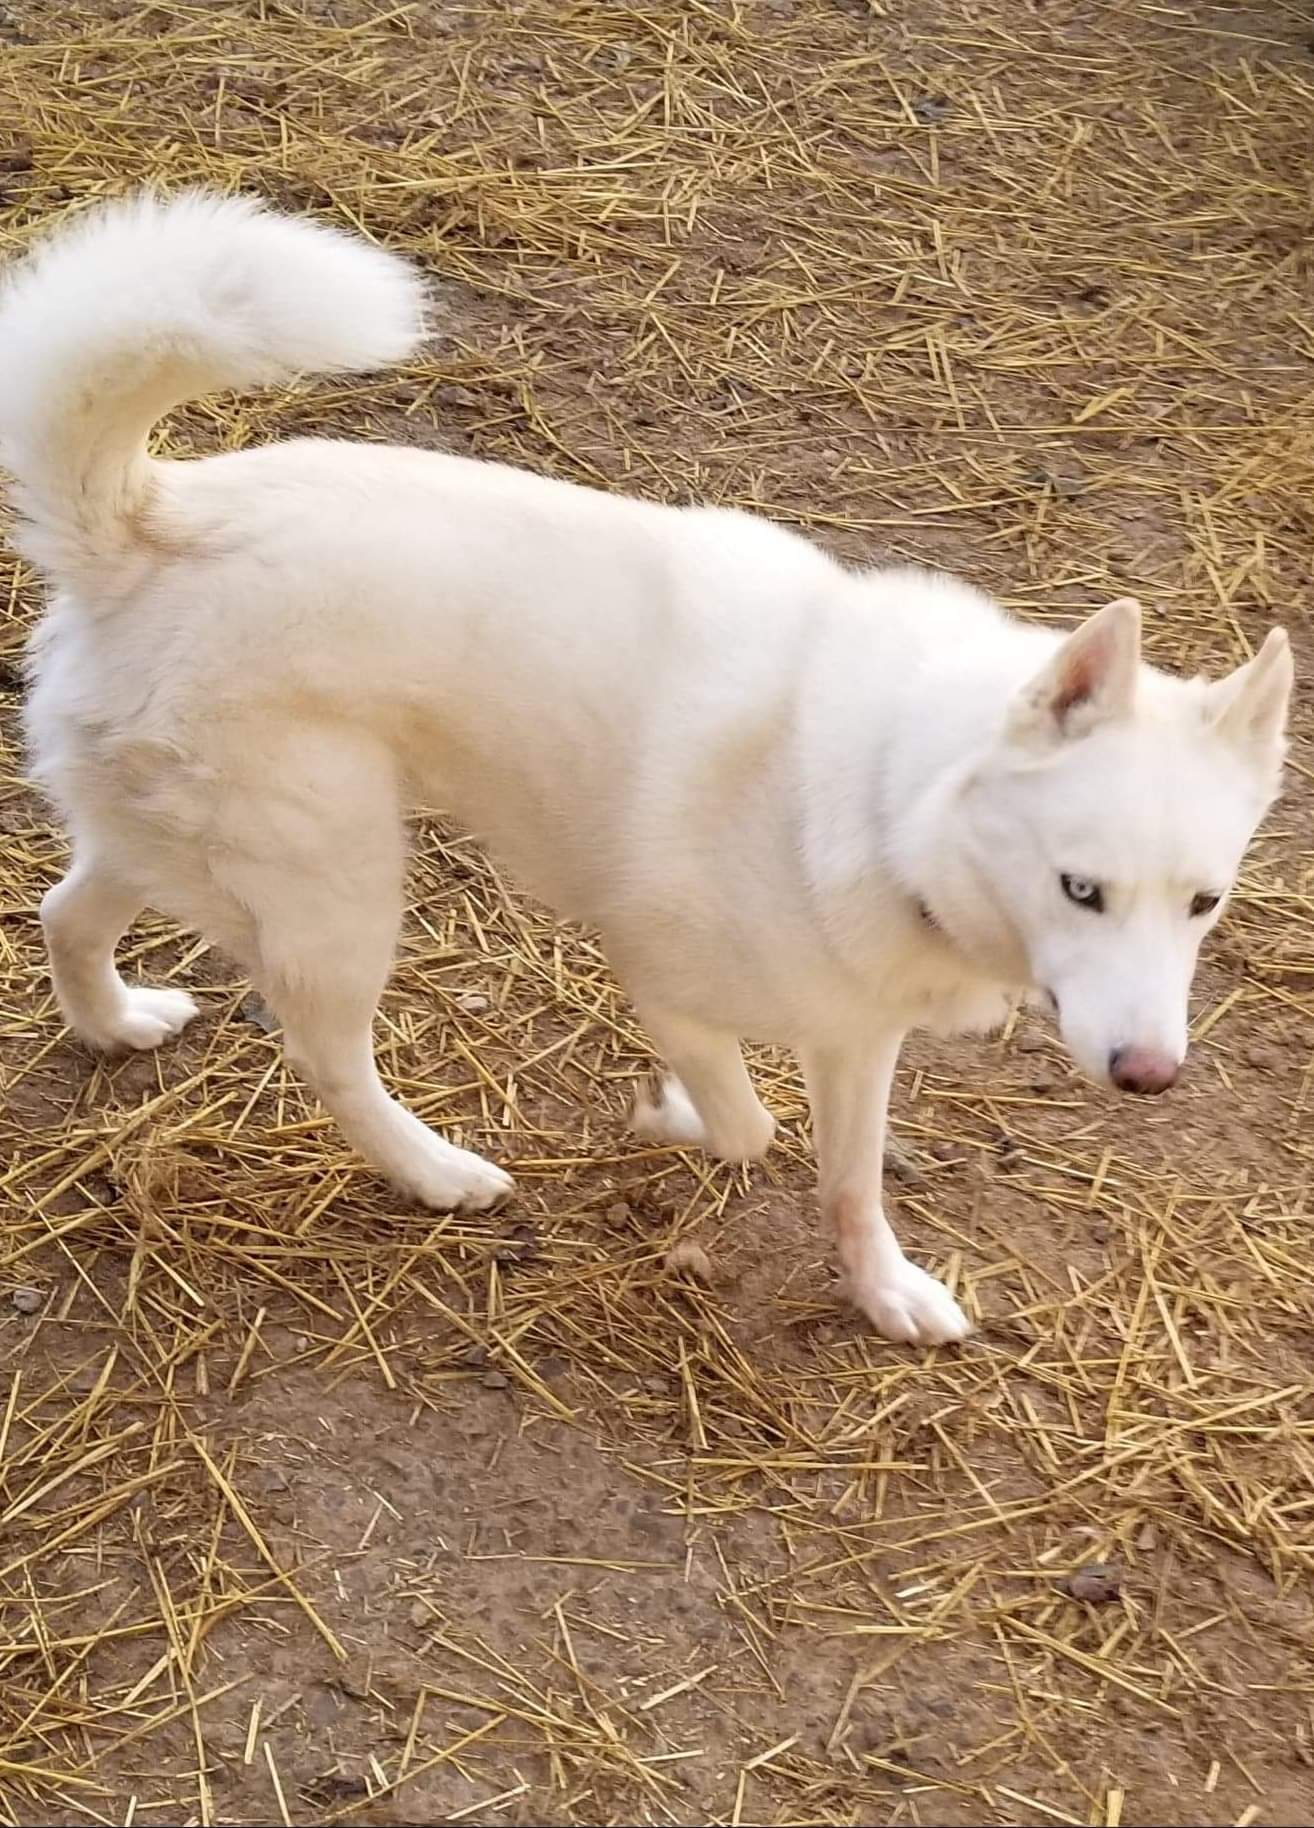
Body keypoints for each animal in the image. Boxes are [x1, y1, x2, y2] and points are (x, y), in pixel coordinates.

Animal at [0, 196, 1293, 1345]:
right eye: (1081, 888)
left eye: (1204, 903)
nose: (1148, 1076)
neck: (887, 787)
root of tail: (147, 520)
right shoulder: (667, 987)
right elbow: (748, 1128)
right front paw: (669, 1114)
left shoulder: (857, 1034)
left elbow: (852, 1182)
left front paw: (886, 1292)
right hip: (343, 888)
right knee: (326, 1054)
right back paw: (435, 1170)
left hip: (177, 845)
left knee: (67, 913)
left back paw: (113, 1023)